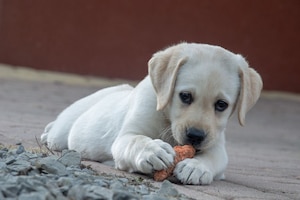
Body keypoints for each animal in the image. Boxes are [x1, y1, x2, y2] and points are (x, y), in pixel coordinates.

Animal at [41, 43, 262, 185]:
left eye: (221, 105)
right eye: (185, 96)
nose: (195, 136)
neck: (167, 120)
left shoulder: (217, 146)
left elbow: (213, 158)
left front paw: (196, 167)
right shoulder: (126, 136)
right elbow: (137, 140)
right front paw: (153, 150)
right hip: (63, 132)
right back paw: (46, 133)